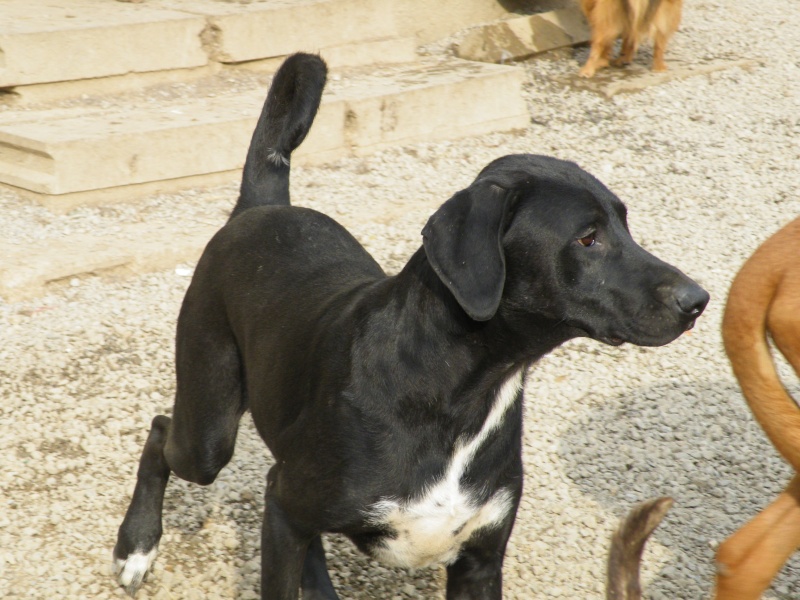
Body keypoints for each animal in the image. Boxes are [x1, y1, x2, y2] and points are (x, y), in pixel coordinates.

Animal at [112, 54, 708, 596]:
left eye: (625, 224)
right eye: (587, 238)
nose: (698, 300)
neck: (458, 388)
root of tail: (261, 206)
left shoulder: (479, 560)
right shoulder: (286, 513)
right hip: (210, 428)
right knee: (163, 430)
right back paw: (136, 546)